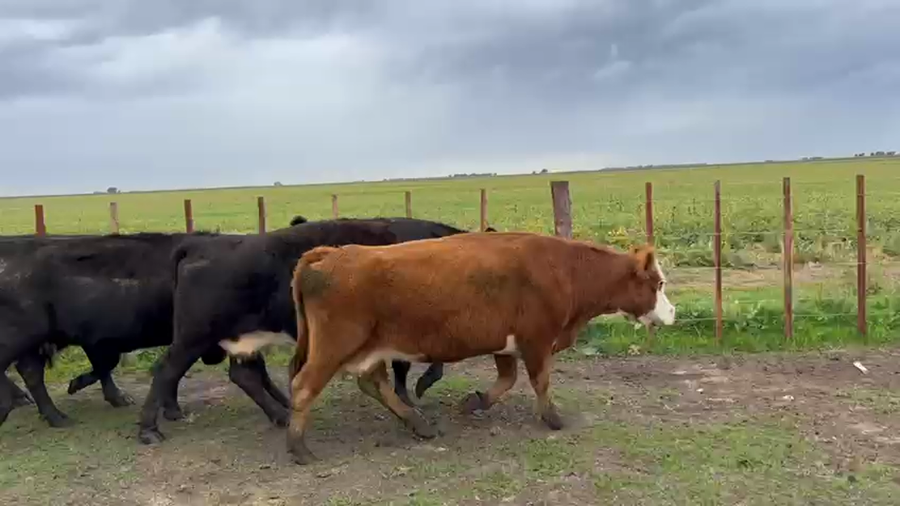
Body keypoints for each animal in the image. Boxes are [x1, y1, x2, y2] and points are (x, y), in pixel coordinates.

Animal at [136, 217, 478, 445]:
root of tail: (201, 244)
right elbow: (414, 364)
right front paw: (417, 392)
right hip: (193, 337)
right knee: (165, 371)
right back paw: (148, 430)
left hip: (238, 340)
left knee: (243, 376)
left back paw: (282, 415)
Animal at [284, 231, 676, 464]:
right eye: (658, 283)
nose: (673, 312)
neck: (563, 268)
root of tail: (329, 255)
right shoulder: (536, 340)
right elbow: (540, 381)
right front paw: (552, 417)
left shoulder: (507, 345)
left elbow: (507, 380)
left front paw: (475, 402)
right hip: (334, 347)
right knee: (303, 387)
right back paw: (299, 447)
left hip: (369, 347)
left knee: (373, 383)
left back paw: (418, 423)